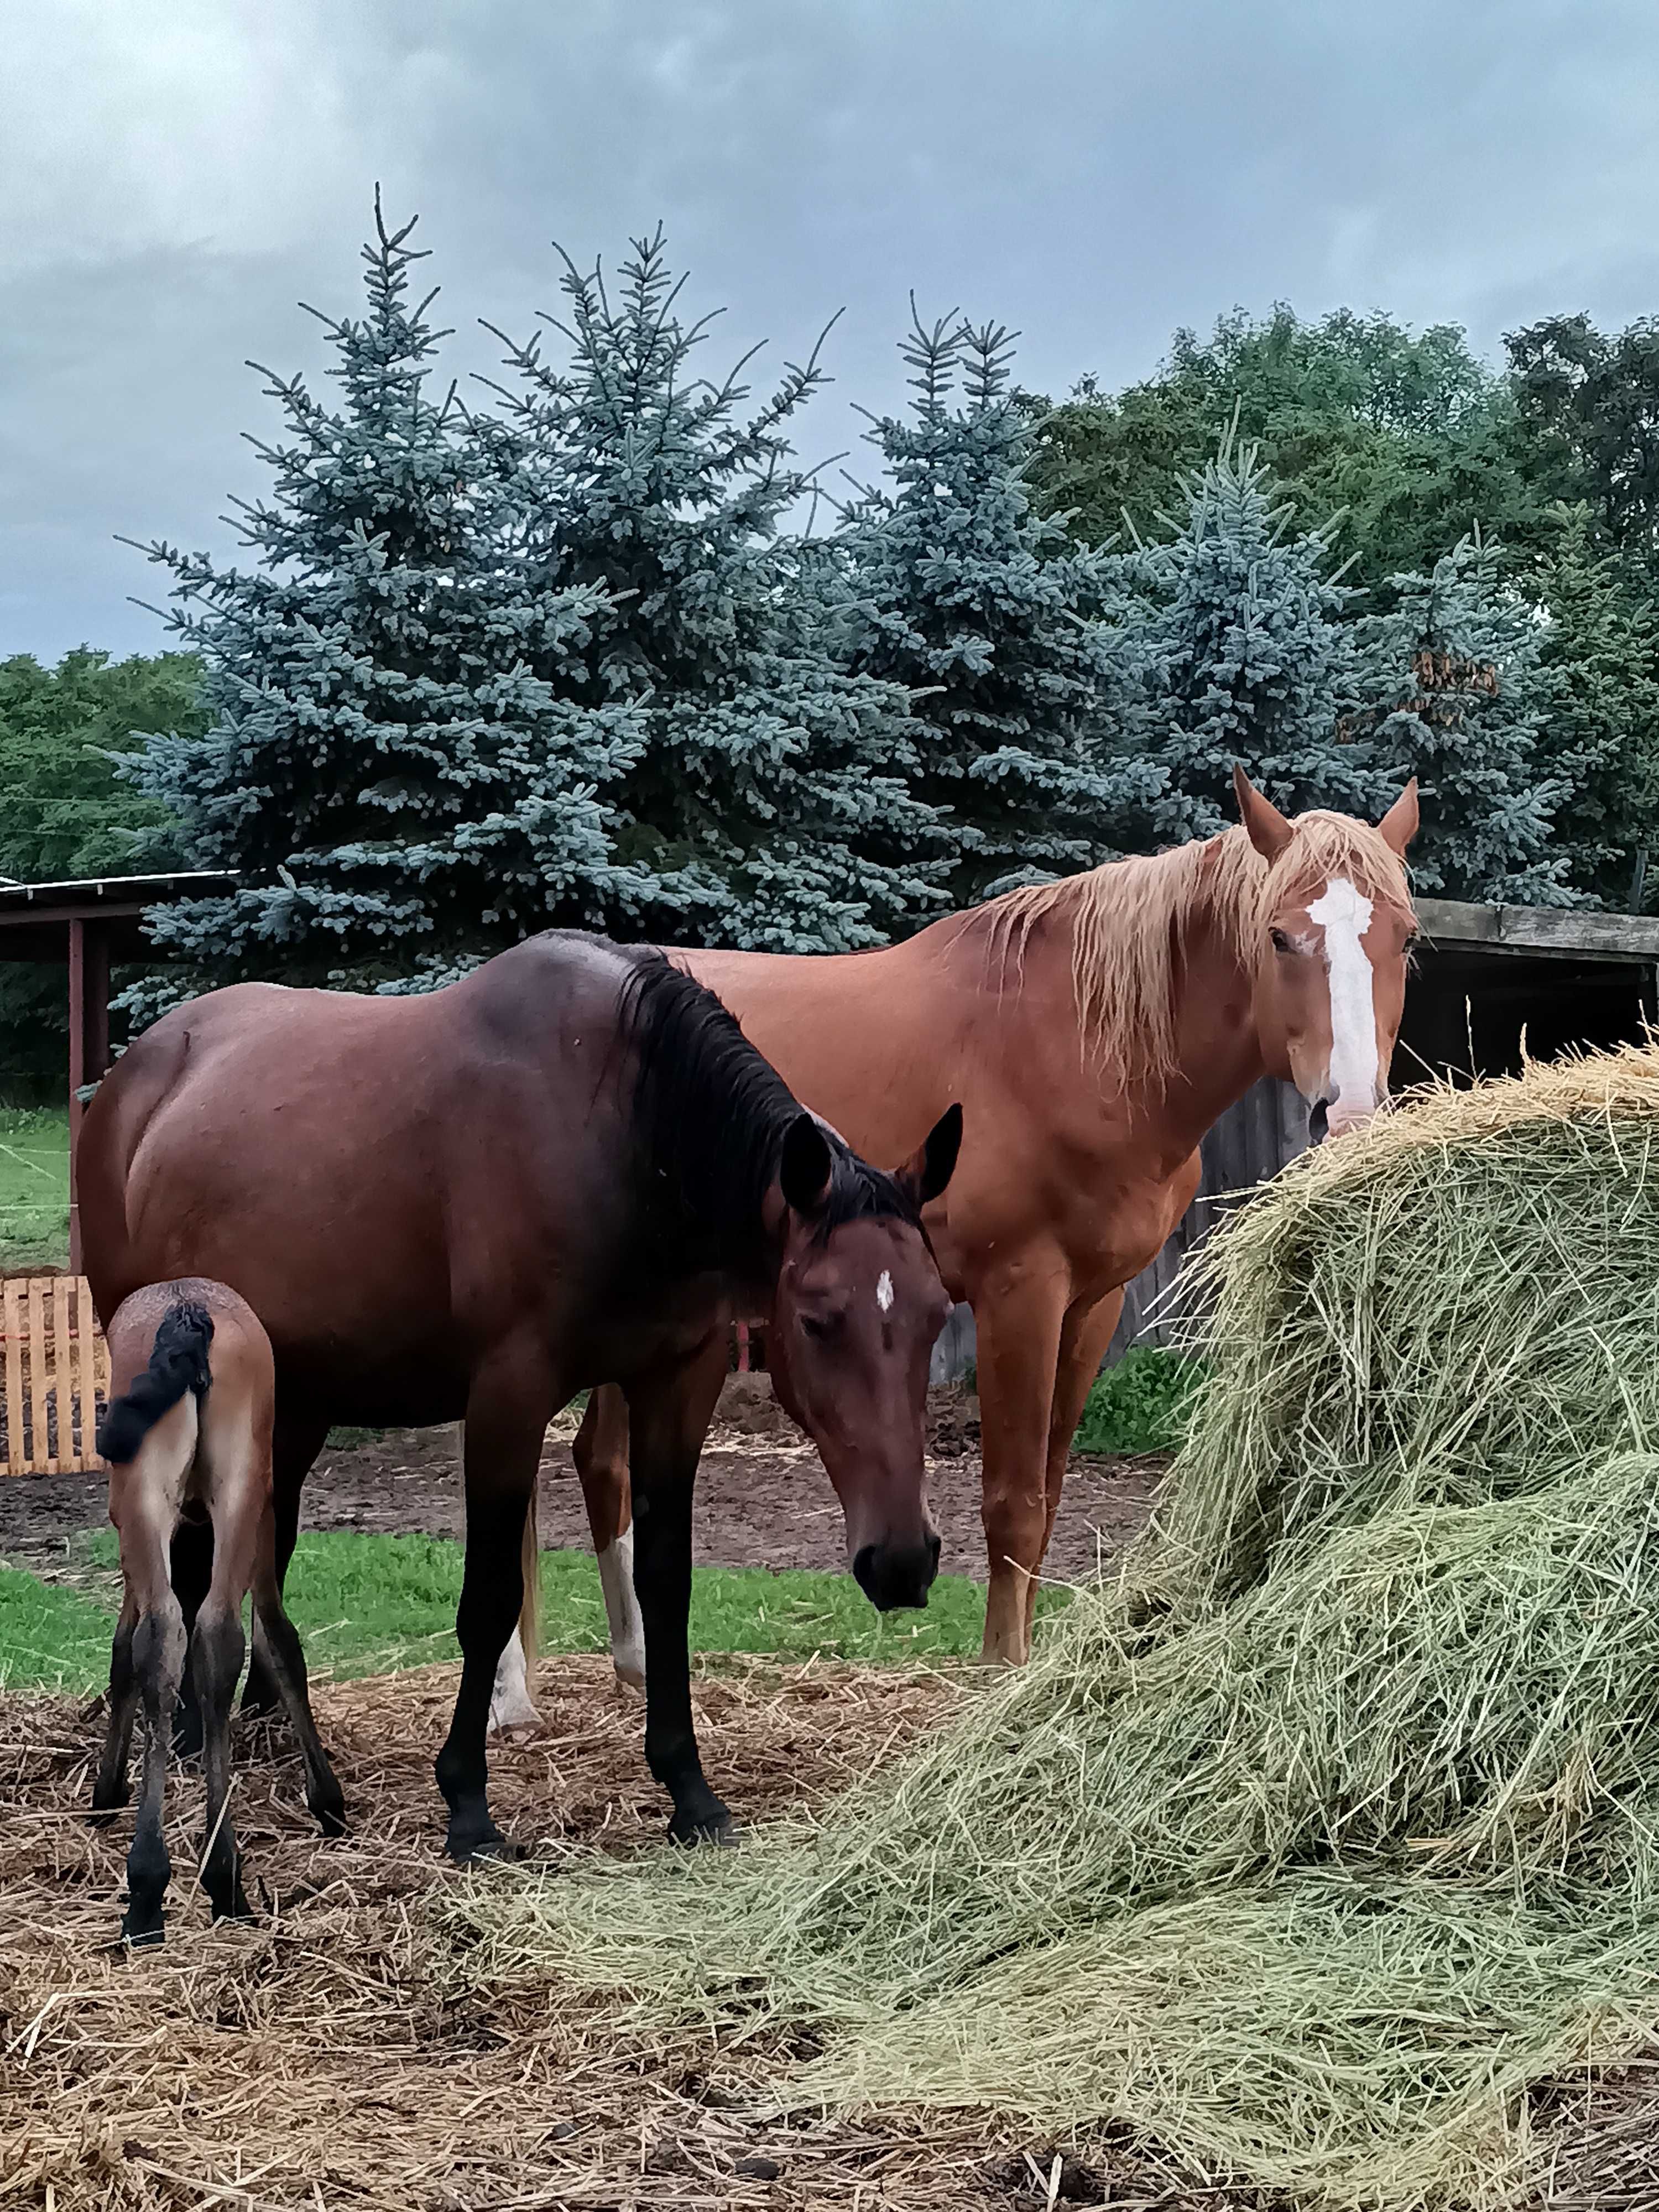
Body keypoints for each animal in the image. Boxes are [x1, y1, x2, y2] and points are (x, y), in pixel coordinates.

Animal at [81, 925, 960, 1858]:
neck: (628, 1134)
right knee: (189, 1557)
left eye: (939, 1314)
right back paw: (182, 1737)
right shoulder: (510, 1395)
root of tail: (133, 1074)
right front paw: (468, 1805)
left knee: (256, 1548)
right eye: (820, 1319)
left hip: (294, 1404)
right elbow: (492, 1598)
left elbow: (668, 1585)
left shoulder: (676, 1384)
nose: (904, 1561)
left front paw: (690, 1791)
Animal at [91, 1283, 345, 1938]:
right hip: (239, 1493)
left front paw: (108, 1788)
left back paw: (155, 1884)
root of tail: (187, 1308)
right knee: (213, 1636)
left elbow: (124, 1648)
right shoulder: (260, 1515)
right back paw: (217, 1877)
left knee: (168, 1634)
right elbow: (277, 1637)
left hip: (156, 1500)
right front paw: (327, 1800)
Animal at [518, 770, 1416, 1681]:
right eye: (1278, 937)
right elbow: (1011, 1500)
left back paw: (634, 1662)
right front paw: (998, 1674)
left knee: (600, 1458)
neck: (1080, 1046)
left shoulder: (1091, 1308)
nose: (1348, 1114)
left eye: (1407, 939)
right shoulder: (1018, 1295)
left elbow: (1048, 1496)